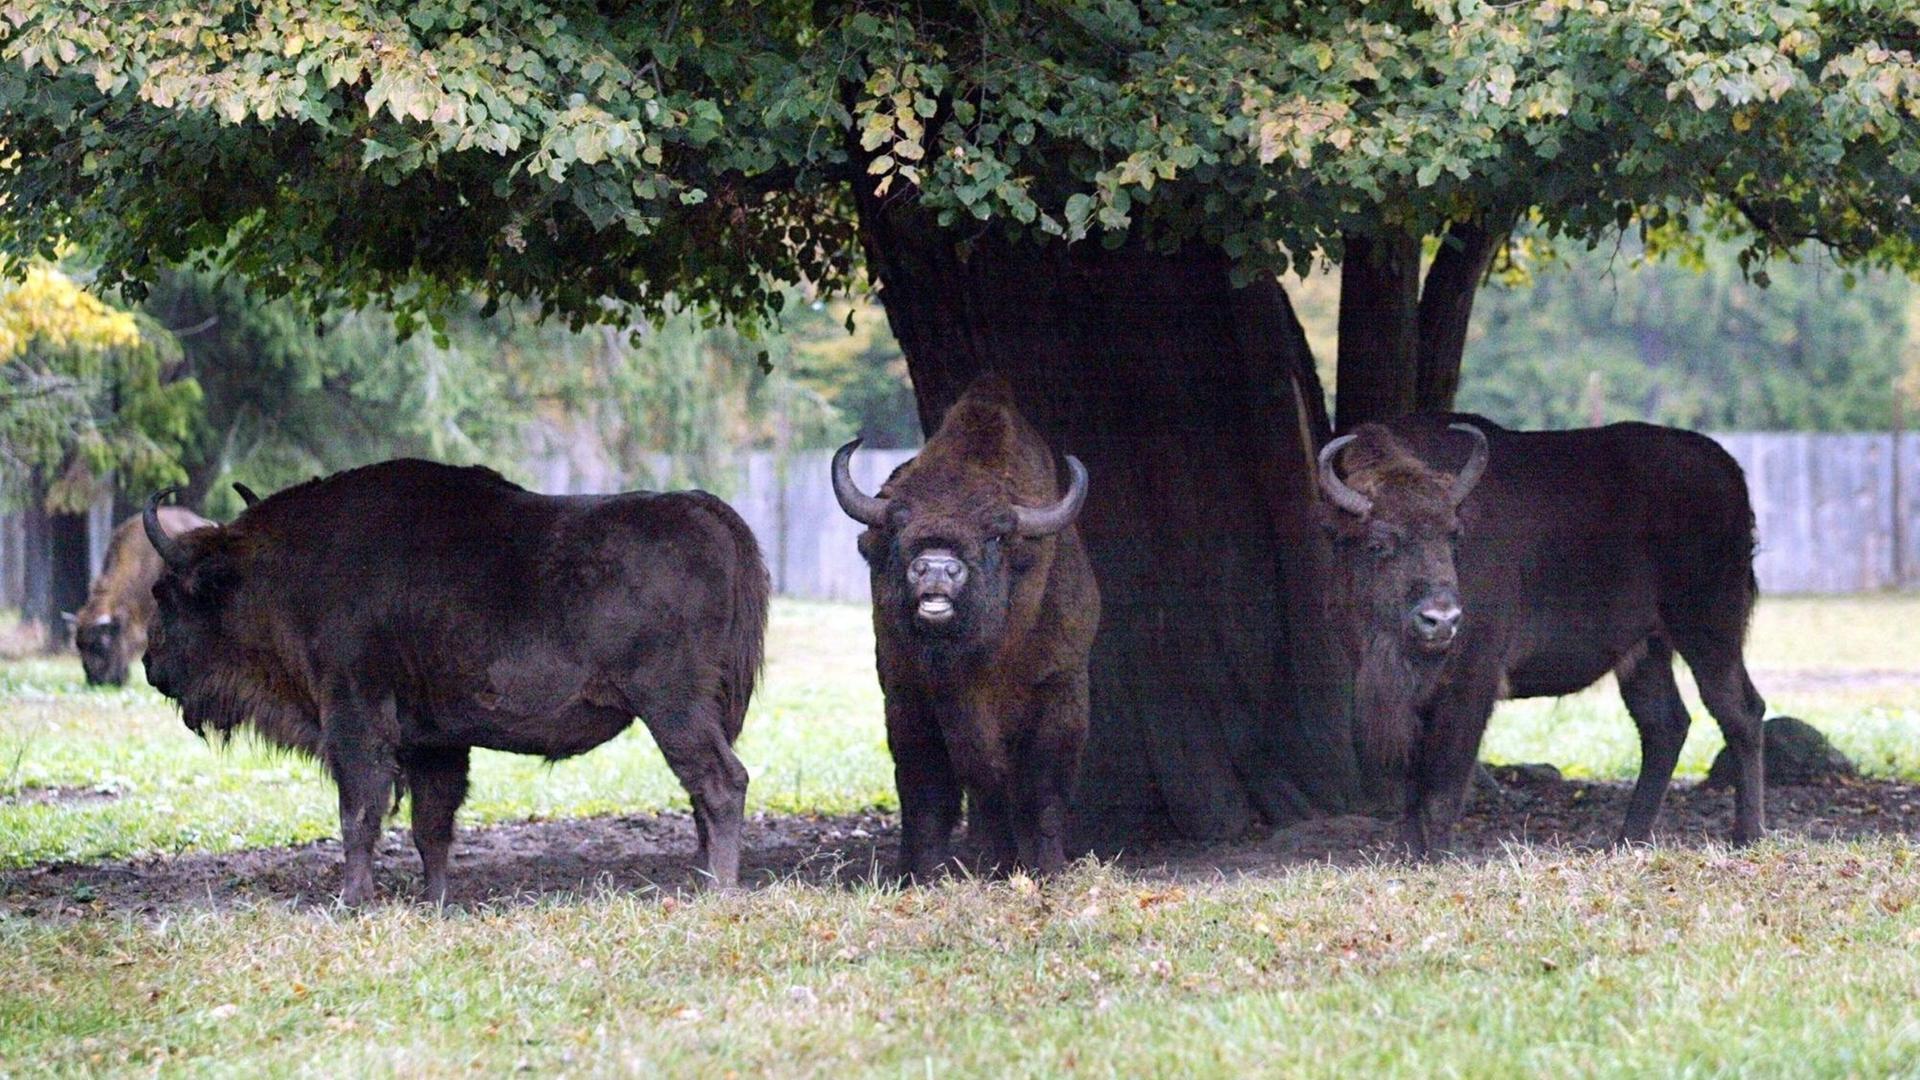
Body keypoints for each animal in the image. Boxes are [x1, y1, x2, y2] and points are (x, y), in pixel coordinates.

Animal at [145, 461, 768, 899]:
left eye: (166, 593)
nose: (151, 666)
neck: (276, 569)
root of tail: (710, 514)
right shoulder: (434, 742)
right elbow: (431, 825)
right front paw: (436, 901)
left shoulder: (355, 719)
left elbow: (359, 813)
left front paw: (351, 900)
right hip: (708, 713)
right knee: (701, 791)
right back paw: (700, 881)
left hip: (671, 706)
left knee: (720, 782)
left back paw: (717, 890)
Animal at [837, 374, 1105, 880]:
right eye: (898, 524)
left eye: (996, 533)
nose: (937, 569)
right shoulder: (907, 697)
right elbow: (925, 794)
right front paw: (919, 874)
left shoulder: (1059, 691)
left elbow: (1041, 793)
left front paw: (1049, 870)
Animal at [1320, 411, 1766, 849]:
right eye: (1377, 543)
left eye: (1454, 536)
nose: (1441, 620)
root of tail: (1727, 471)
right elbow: (1412, 794)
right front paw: (1413, 856)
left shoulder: (1471, 685)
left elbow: (1442, 792)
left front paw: (1439, 857)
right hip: (1645, 649)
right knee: (1665, 724)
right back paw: (1628, 839)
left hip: (1709, 631)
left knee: (1741, 712)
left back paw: (1747, 835)